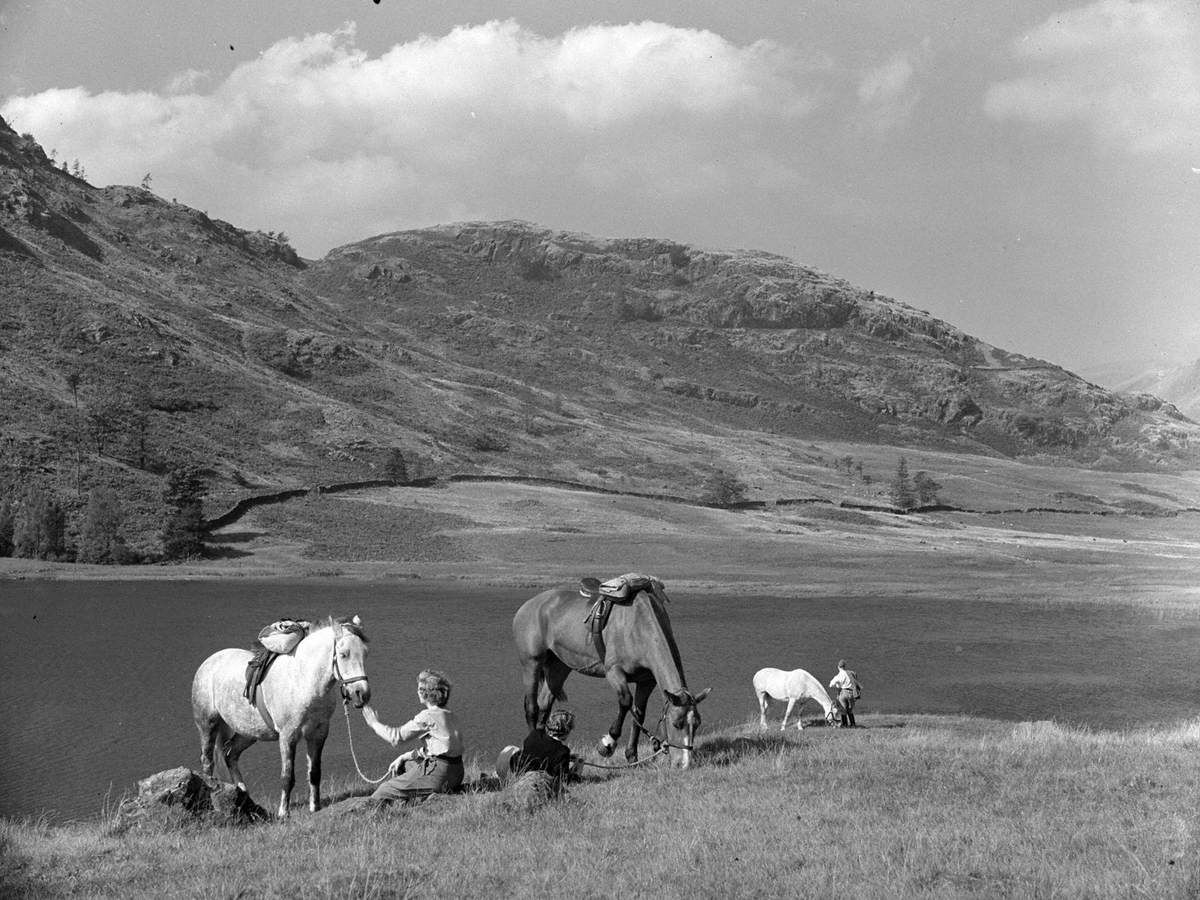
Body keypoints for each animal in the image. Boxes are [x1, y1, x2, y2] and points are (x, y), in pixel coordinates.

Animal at [189, 619, 367, 820]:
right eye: (344, 654)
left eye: (365, 653)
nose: (362, 693)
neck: (302, 680)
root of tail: (209, 662)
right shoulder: (288, 736)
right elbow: (287, 777)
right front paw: (284, 813)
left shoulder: (318, 733)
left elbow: (314, 772)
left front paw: (315, 808)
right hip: (208, 725)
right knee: (207, 761)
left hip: (248, 733)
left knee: (230, 755)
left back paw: (244, 796)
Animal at [511, 588, 705, 772]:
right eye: (676, 724)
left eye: (696, 725)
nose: (684, 764)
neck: (638, 626)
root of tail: (528, 605)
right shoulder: (614, 672)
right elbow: (625, 701)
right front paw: (608, 744)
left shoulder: (646, 682)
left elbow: (639, 714)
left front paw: (632, 757)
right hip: (531, 664)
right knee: (532, 707)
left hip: (559, 667)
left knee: (544, 704)